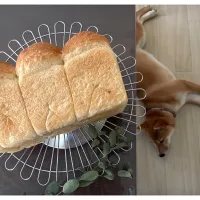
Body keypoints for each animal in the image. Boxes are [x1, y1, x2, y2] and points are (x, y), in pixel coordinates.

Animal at [138, 5, 200, 157]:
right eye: (153, 144)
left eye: (160, 140)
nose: (161, 155)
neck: (159, 103)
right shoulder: (188, 97)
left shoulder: (184, 85)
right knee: (139, 19)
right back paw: (151, 13)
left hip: (141, 37)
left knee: (137, 16)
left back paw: (149, 10)